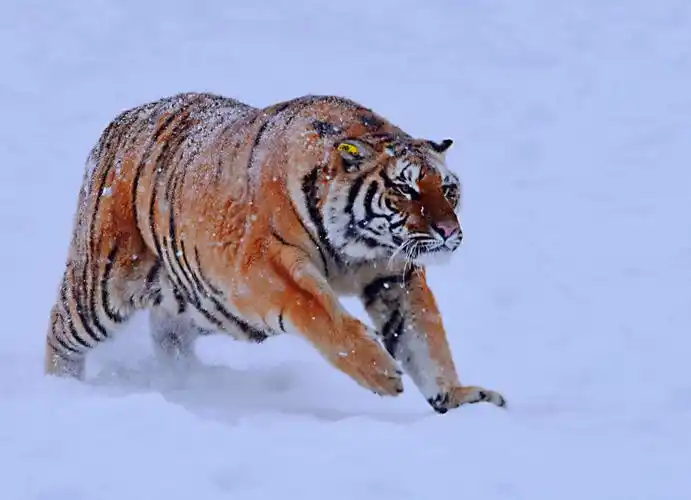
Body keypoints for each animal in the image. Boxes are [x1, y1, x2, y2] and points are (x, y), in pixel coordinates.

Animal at [43, 91, 506, 414]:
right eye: (405, 189)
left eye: (448, 189)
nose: (449, 231)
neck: (357, 247)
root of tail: (121, 120)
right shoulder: (263, 267)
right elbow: (321, 314)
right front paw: (381, 372)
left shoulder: (395, 277)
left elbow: (425, 340)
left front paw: (460, 399)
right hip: (102, 287)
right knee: (60, 331)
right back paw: (63, 390)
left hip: (200, 304)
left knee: (169, 337)